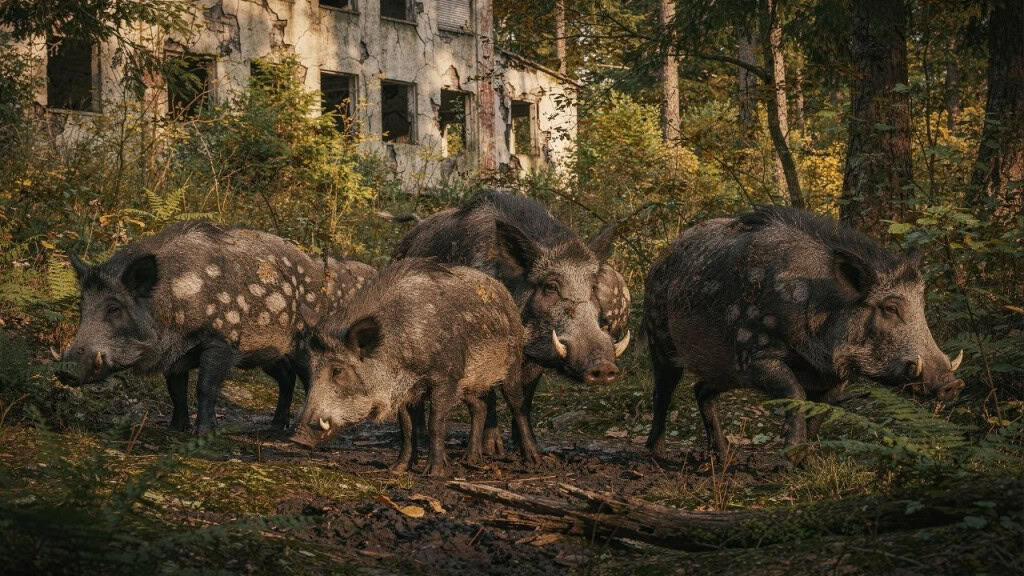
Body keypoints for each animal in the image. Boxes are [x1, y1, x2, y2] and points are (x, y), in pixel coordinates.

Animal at [57, 220, 375, 434]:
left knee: (310, 381)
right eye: (82, 307)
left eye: (114, 309)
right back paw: (275, 427)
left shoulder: (222, 340)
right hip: (267, 354)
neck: (174, 304)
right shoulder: (176, 356)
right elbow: (176, 390)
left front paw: (202, 434)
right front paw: (175, 429)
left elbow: (205, 387)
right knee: (286, 378)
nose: (65, 369)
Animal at [290, 259, 527, 477]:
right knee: (479, 406)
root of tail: (503, 292)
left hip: (513, 361)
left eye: (338, 370)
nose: (297, 438)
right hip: (468, 382)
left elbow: (435, 422)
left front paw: (435, 473)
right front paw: (397, 470)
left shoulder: (446, 376)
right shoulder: (406, 391)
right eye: (310, 369)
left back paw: (530, 461)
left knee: (516, 403)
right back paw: (470, 459)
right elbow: (406, 427)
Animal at [393, 191, 630, 462]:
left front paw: (529, 449)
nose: (604, 366)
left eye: (592, 287)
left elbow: (525, 398)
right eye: (550, 286)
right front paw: (498, 451)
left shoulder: (536, 356)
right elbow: (497, 394)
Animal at [644, 206, 965, 460]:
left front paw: (806, 460)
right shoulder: (753, 355)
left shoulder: (834, 376)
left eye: (921, 305)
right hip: (659, 336)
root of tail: (661, 258)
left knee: (701, 391)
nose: (952, 384)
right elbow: (795, 393)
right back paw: (656, 453)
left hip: (723, 369)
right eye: (890, 308)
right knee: (663, 390)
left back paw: (724, 457)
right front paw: (790, 458)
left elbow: (821, 409)